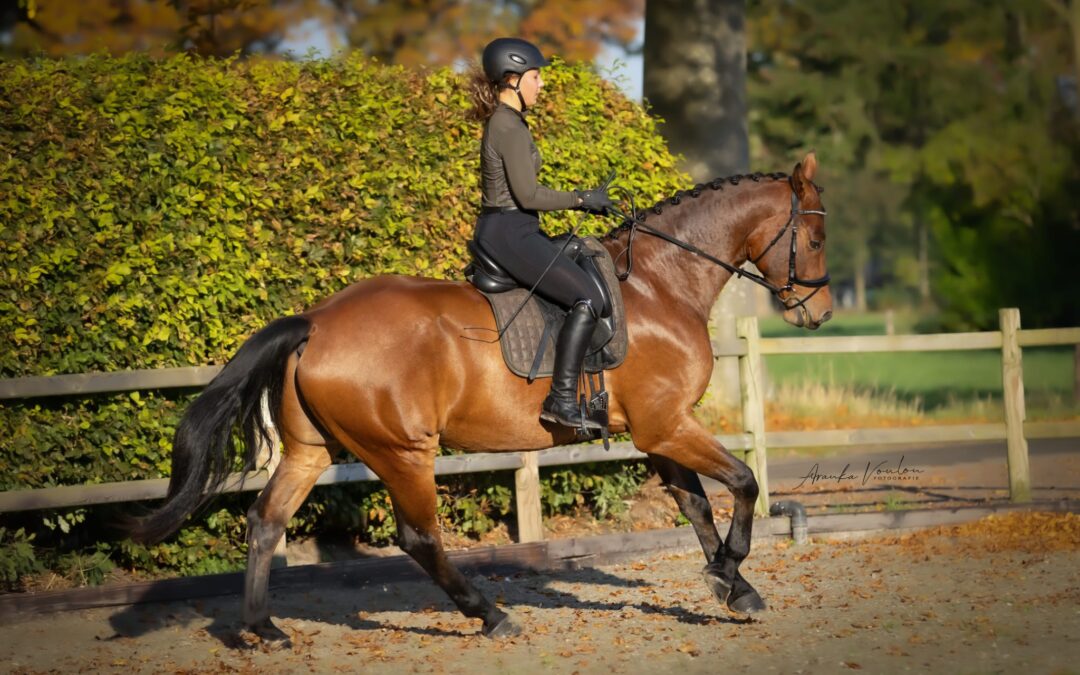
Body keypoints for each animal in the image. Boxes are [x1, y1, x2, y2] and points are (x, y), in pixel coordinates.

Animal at [128, 150, 833, 639]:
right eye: (817, 238)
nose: (820, 313)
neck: (662, 284)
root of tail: (317, 320)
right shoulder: (666, 425)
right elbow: (742, 482)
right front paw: (731, 570)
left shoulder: (657, 429)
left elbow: (696, 505)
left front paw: (732, 585)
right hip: (402, 451)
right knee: (419, 539)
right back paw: (490, 615)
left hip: (313, 449)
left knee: (265, 521)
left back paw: (261, 629)